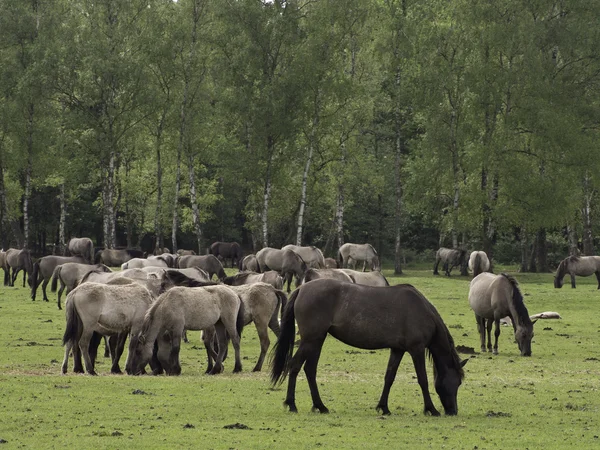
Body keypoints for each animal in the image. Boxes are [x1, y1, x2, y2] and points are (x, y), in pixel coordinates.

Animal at [270, 280, 466, 416]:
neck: (422, 311)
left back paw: (320, 406)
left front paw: (383, 407)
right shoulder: (416, 349)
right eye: (457, 382)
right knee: (294, 366)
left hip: (317, 340)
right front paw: (431, 409)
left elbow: (389, 377)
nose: (453, 411)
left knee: (310, 370)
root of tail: (301, 289)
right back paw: (292, 404)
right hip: (310, 340)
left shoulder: (397, 350)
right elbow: (423, 380)